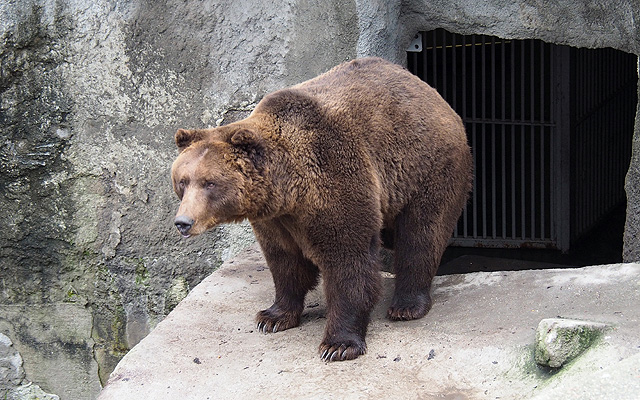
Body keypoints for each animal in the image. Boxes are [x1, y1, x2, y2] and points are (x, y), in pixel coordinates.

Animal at [172, 57, 472, 362]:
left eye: (209, 182)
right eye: (182, 181)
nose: (183, 222)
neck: (290, 190)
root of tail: (432, 93)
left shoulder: (335, 178)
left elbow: (348, 263)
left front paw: (338, 344)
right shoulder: (275, 220)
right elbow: (285, 262)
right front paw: (272, 316)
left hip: (427, 167)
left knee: (421, 234)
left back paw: (407, 305)